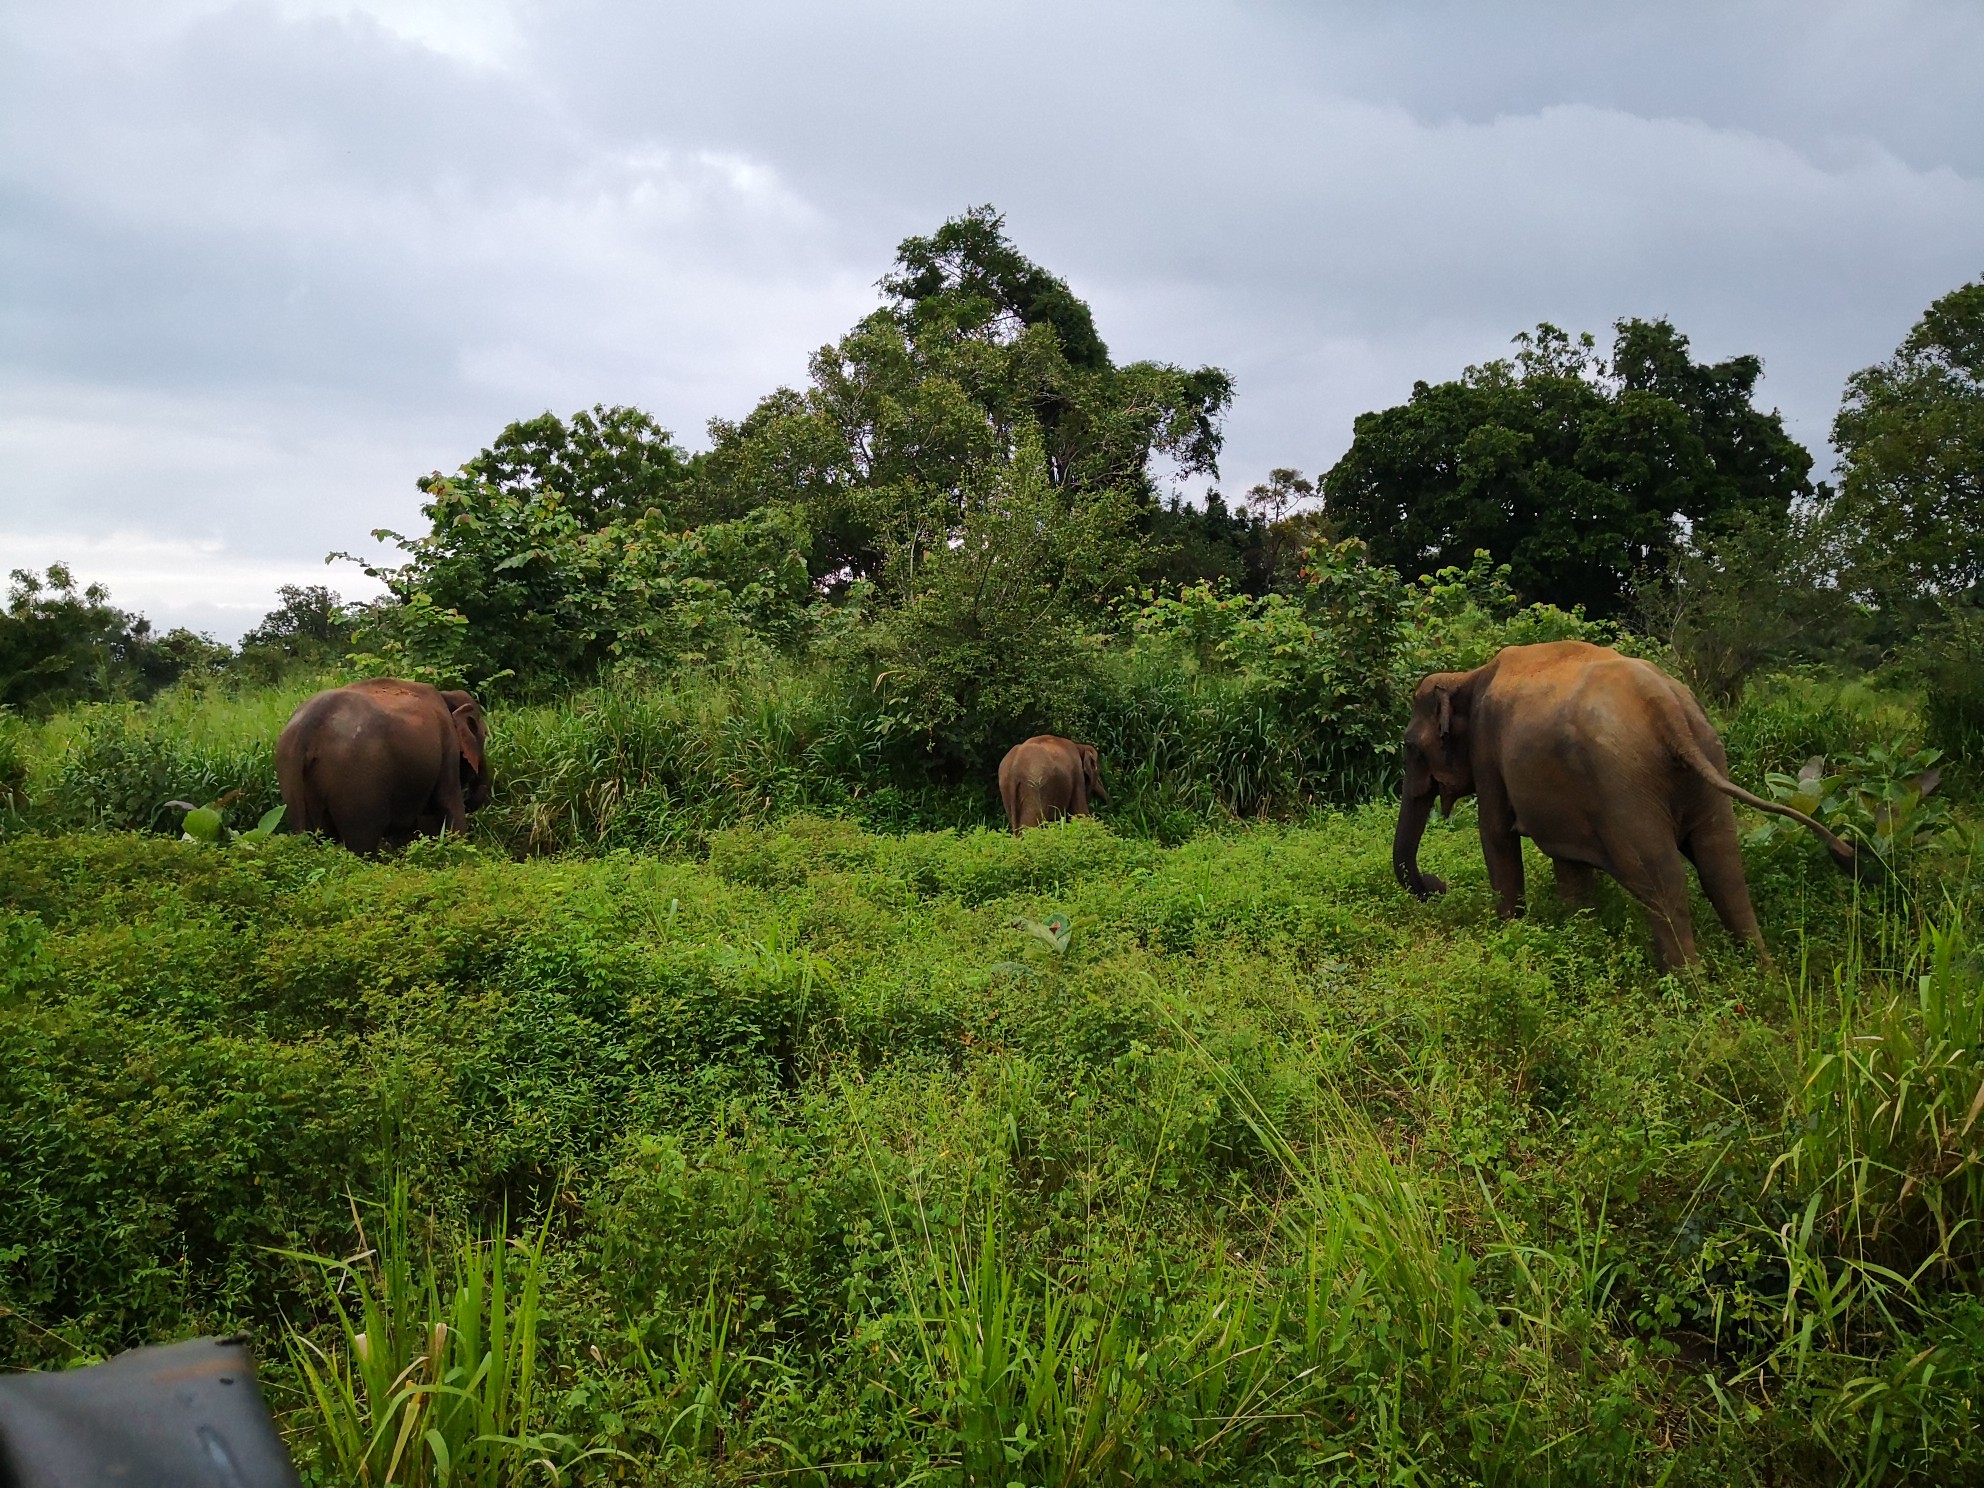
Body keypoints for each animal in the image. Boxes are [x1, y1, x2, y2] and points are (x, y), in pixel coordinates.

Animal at [275, 682, 492, 857]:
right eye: (484, 735)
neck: (446, 694)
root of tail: (306, 732)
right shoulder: (447, 744)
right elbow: (449, 802)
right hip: (357, 784)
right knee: (362, 845)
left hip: (289, 775)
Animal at [1388, 642, 1864, 972]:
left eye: (1409, 747)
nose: (1437, 884)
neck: (1468, 675)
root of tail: (1667, 707)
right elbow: (1569, 865)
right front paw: (1579, 937)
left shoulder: (1488, 755)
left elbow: (1496, 835)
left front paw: (1509, 934)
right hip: (1705, 766)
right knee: (1723, 869)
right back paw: (1763, 975)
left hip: (1624, 788)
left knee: (1659, 879)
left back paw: (1689, 991)